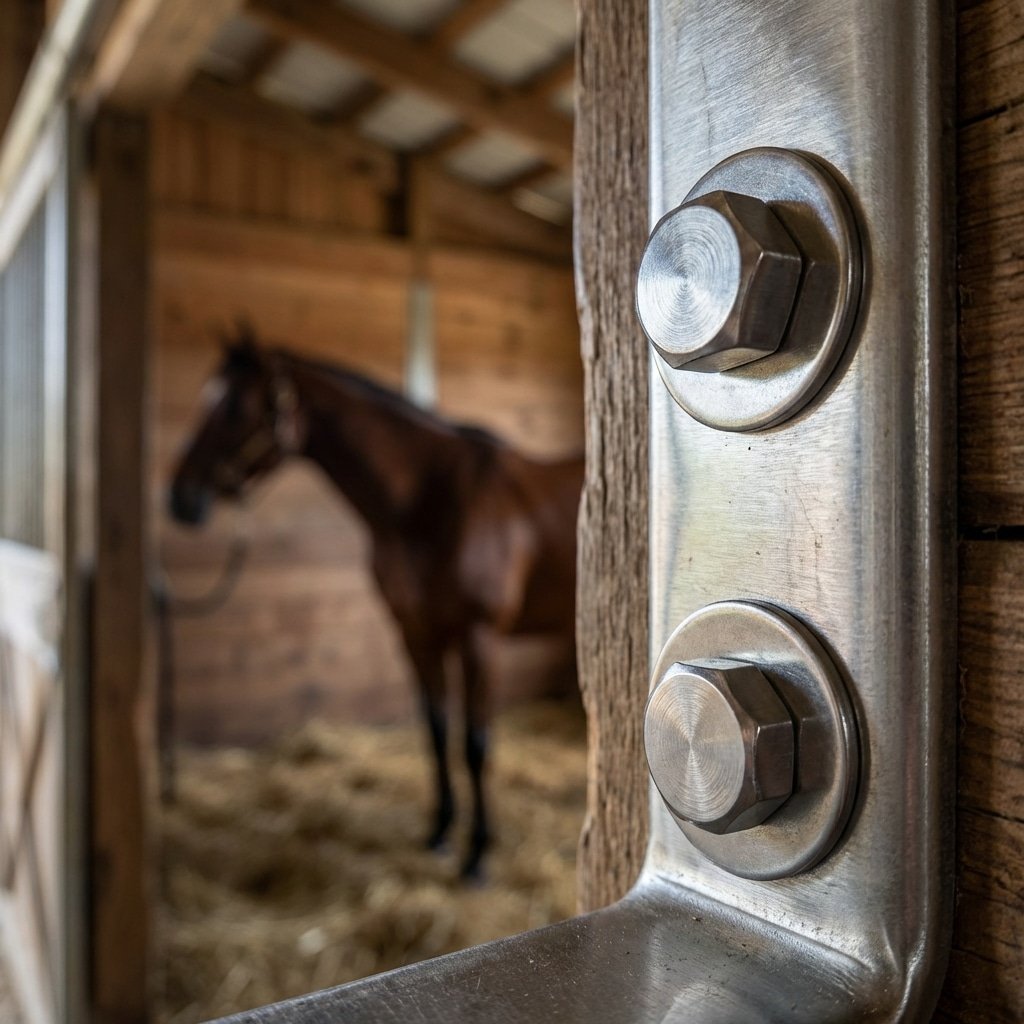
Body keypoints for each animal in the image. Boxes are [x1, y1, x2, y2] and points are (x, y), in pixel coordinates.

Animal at [168, 327, 583, 877]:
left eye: (234, 406)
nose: (178, 498)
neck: (429, 503)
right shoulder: (415, 632)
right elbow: (436, 730)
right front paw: (440, 833)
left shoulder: (479, 639)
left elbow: (475, 743)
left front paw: (477, 855)